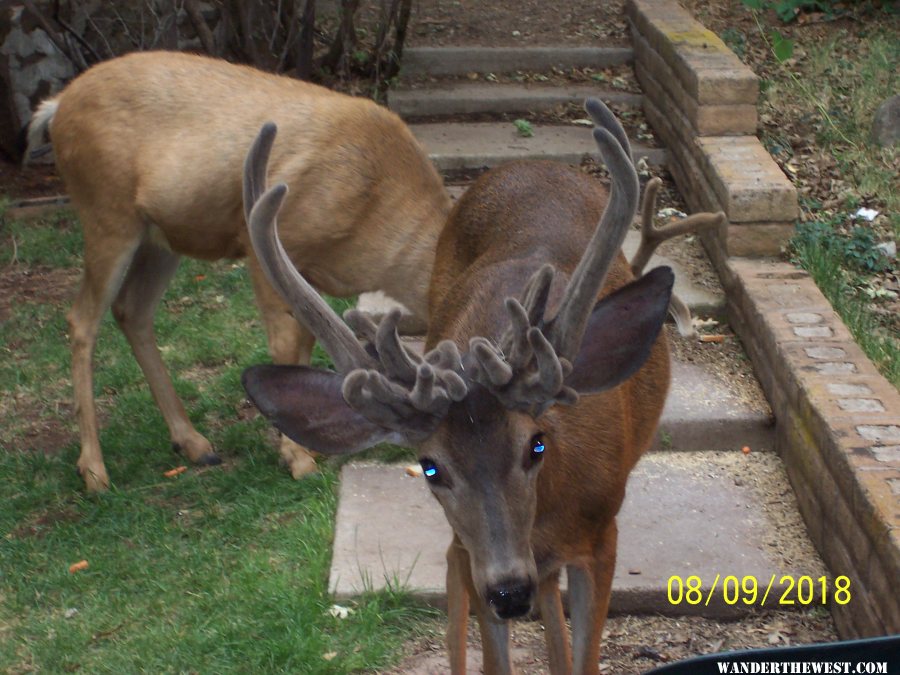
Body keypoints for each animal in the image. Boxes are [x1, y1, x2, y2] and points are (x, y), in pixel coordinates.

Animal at [24, 50, 450, 488]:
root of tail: (56, 107)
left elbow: (305, 341)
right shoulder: (265, 242)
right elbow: (286, 345)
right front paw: (297, 457)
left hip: (159, 236)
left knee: (131, 309)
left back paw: (194, 444)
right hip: (107, 213)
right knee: (82, 320)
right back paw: (94, 470)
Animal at [239, 97, 696, 672]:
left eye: (536, 444)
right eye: (432, 467)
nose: (509, 591)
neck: (545, 519)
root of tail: (528, 164)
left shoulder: (601, 536)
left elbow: (585, 659)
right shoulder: (478, 556)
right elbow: (493, 655)